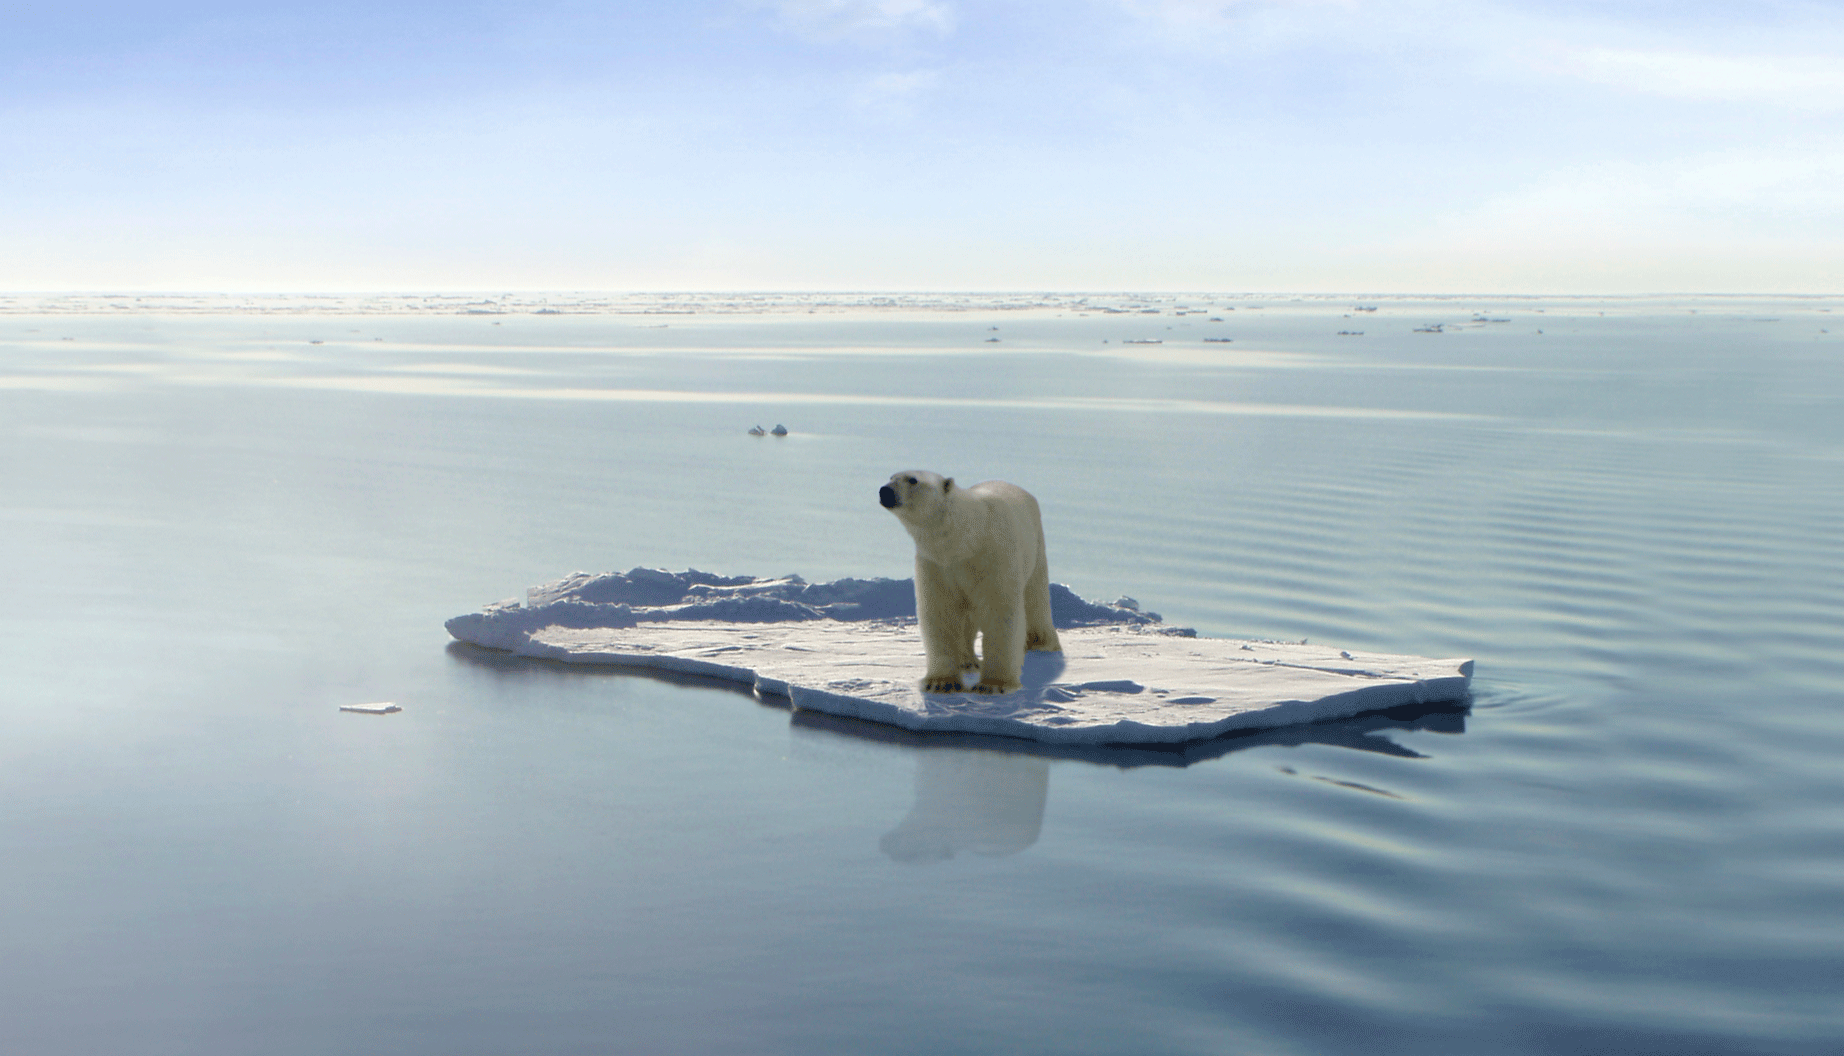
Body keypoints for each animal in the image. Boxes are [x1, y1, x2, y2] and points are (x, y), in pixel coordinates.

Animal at [881, 469, 1069, 692]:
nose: (885, 491)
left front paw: (993, 685)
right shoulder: (938, 564)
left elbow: (1000, 612)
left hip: (1035, 546)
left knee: (1035, 598)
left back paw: (1042, 644)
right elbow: (941, 612)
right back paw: (967, 661)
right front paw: (941, 682)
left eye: (912, 480)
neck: (965, 539)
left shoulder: (994, 558)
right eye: (891, 477)